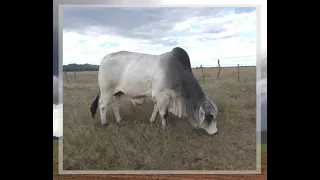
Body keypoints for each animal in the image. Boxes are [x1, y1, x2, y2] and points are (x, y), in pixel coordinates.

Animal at [91, 46, 219, 135]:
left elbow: (156, 109)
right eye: (210, 116)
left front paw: (152, 121)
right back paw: (104, 123)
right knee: (103, 106)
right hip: (107, 91)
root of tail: (104, 58)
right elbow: (164, 114)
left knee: (115, 106)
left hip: (117, 93)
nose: (215, 132)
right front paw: (165, 128)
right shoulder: (163, 96)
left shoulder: (160, 97)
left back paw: (119, 120)